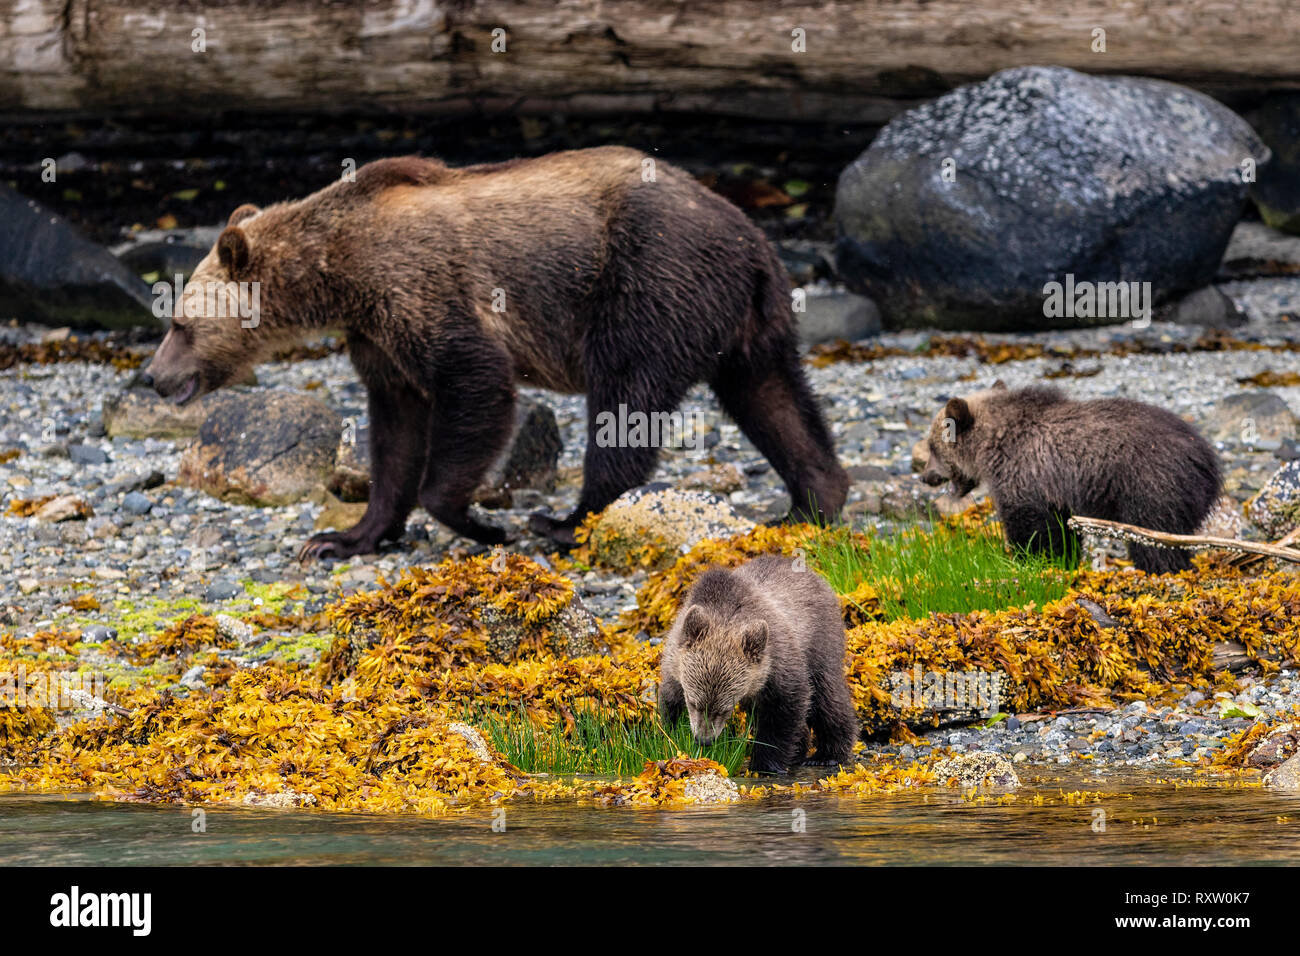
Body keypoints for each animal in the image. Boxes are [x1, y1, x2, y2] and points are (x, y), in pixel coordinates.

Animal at [139, 149, 852, 561]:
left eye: (177, 323)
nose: (153, 376)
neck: (337, 270)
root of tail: (750, 236)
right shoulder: (378, 336)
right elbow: (395, 430)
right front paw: (343, 537)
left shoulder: (423, 290)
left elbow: (475, 382)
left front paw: (480, 523)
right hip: (749, 319)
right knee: (774, 397)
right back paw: (809, 502)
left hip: (649, 281)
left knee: (625, 398)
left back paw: (562, 521)